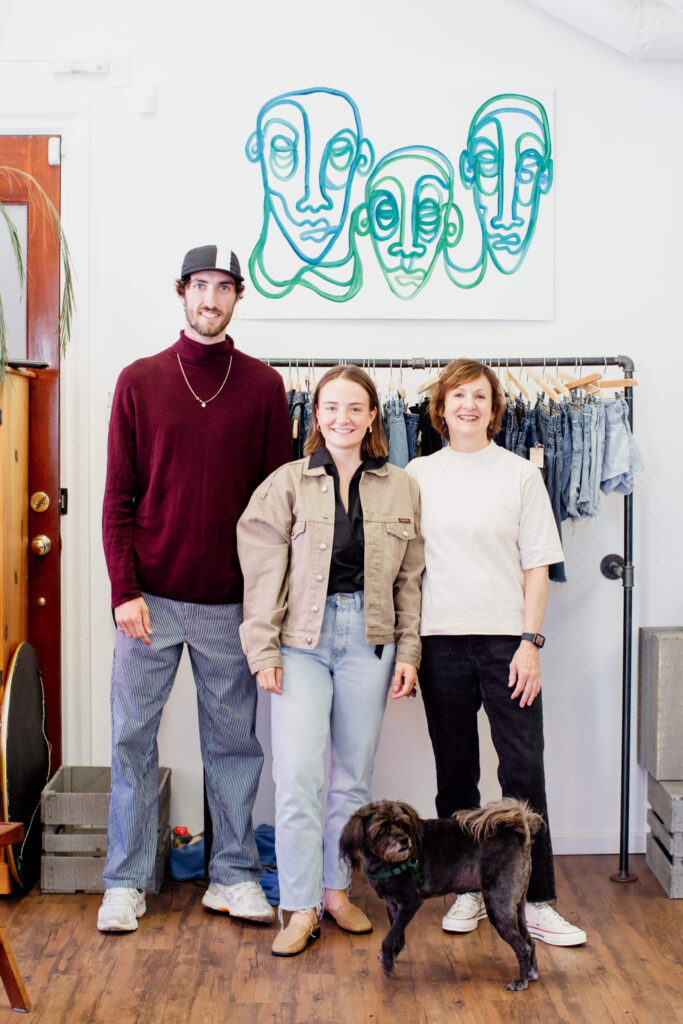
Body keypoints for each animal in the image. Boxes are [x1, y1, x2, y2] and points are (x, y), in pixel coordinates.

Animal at [339, 794, 544, 987]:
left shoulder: (410, 902)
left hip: (498, 905)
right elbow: (396, 931)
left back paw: (521, 980)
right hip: (516, 905)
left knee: (523, 947)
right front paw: (394, 952)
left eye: (403, 824)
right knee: (530, 941)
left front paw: (388, 960)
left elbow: (389, 936)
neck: (384, 861)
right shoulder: (391, 904)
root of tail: (520, 836)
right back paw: (532, 973)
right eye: (383, 828)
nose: (404, 841)